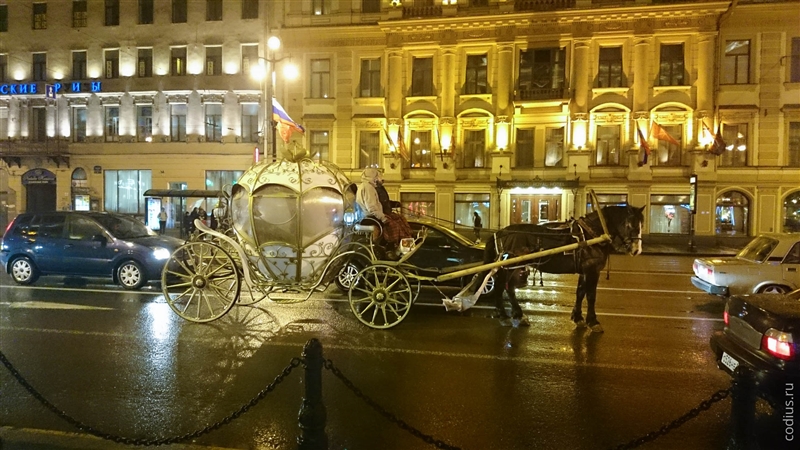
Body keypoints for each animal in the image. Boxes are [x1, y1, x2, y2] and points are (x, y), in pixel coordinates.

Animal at [483, 205, 645, 332]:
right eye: (630, 225)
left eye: (641, 225)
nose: (637, 250)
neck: (590, 235)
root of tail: (500, 232)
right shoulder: (592, 270)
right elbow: (591, 296)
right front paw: (593, 321)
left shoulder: (584, 271)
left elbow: (580, 293)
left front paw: (578, 318)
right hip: (509, 267)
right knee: (501, 287)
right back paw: (505, 316)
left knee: (508, 288)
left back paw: (518, 315)